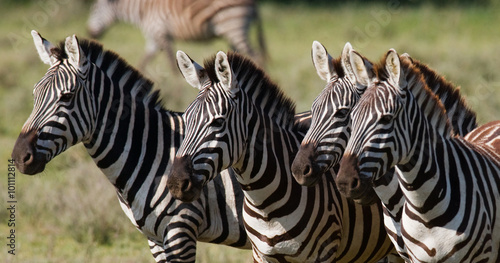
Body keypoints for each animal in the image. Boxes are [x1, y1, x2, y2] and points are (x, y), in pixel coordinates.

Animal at [10, 30, 254, 262]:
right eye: (35, 94)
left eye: (67, 96)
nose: (20, 157)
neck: (154, 149)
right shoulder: (155, 238)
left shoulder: (181, 229)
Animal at [87, 0, 266, 70]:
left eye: (95, 9)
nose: (89, 32)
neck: (141, 10)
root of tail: (254, 3)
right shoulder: (153, 39)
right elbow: (143, 61)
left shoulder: (160, 32)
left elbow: (171, 65)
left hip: (234, 27)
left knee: (256, 55)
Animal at [165, 50, 402, 262]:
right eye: (186, 118)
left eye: (218, 122)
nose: (176, 183)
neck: (265, 205)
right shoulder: (261, 255)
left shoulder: (323, 254)